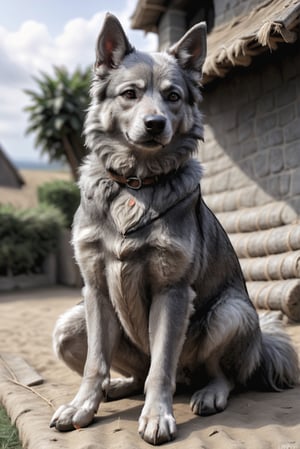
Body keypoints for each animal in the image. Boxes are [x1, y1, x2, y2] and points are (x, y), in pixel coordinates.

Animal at [50, 13, 298, 444]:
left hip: (230, 312)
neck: (136, 183)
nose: (155, 124)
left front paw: (156, 415)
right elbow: (96, 365)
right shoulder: (95, 288)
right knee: (134, 372)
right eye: (130, 94)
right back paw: (118, 387)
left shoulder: (173, 291)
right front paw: (83, 406)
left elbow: (161, 368)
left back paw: (210, 393)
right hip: (69, 326)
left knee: (222, 376)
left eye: (173, 96)